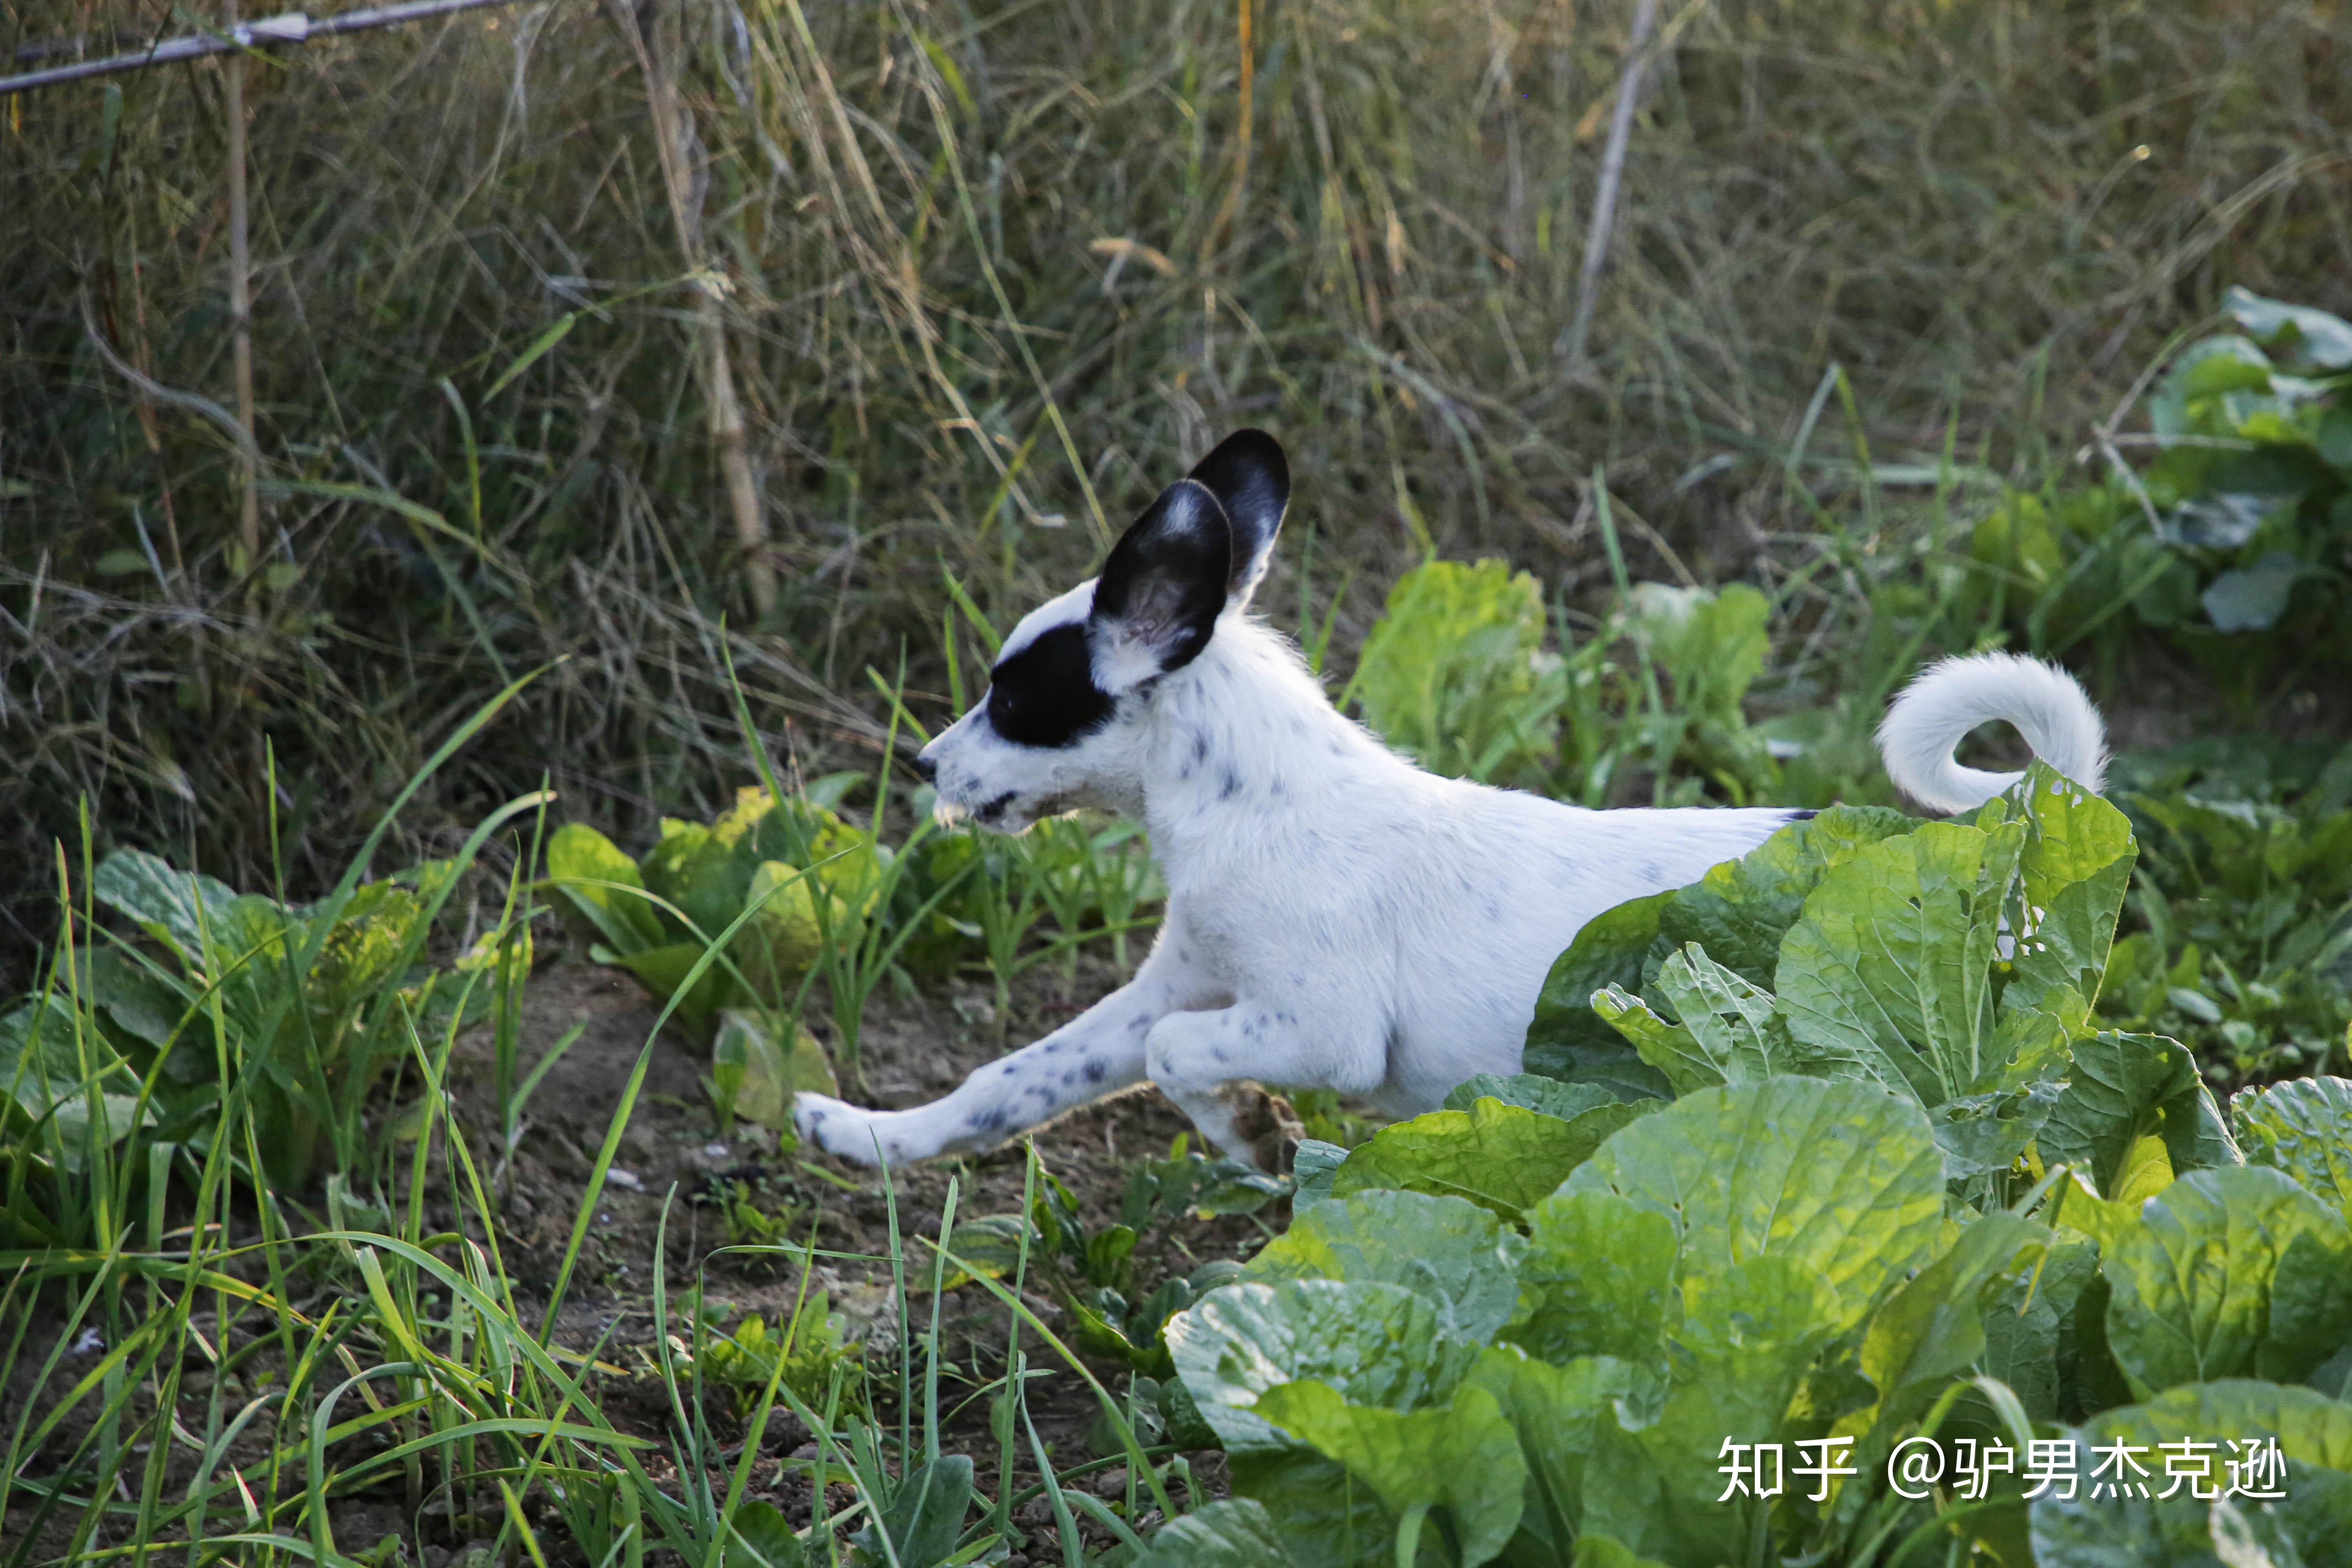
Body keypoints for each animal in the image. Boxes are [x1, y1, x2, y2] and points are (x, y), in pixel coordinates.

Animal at [795, 435, 2117, 1171]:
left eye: (1017, 700)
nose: (922, 765)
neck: (1255, 807)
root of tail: (1990, 837)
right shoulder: (1172, 991)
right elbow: (1007, 1081)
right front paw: (868, 1136)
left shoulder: (1313, 1025)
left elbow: (1182, 1063)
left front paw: (1252, 1136)